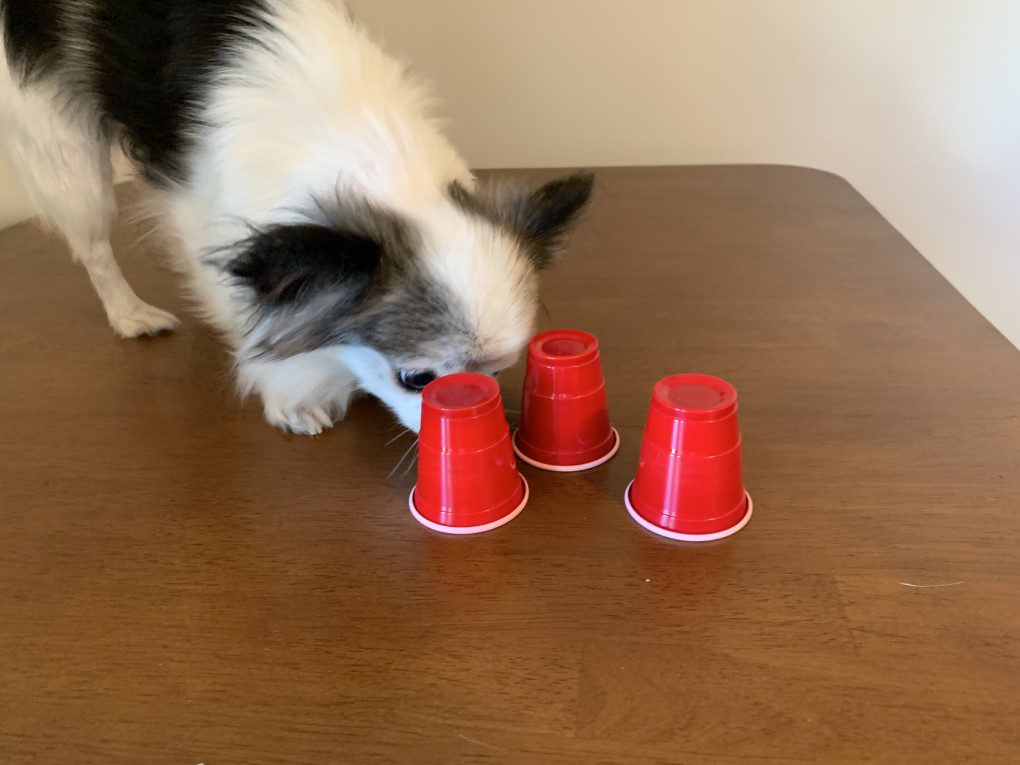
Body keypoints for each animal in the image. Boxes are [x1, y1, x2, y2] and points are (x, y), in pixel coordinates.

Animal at [0, 0, 595, 434]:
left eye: (499, 373)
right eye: (415, 380)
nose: (473, 421)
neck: (360, 141)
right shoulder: (207, 221)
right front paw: (287, 394)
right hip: (65, 148)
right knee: (94, 244)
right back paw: (130, 314)